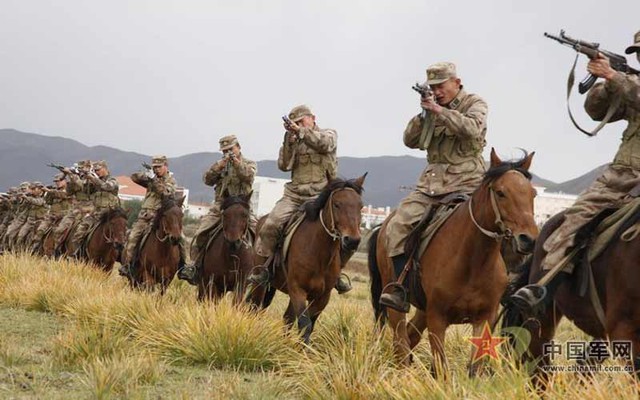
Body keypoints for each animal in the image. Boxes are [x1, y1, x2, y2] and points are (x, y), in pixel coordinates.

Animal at [249, 175, 368, 344]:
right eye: (337, 204)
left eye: (360, 206)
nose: (352, 241)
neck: (319, 254)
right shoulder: (298, 289)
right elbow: (304, 325)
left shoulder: (322, 297)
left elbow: (309, 324)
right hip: (260, 285)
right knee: (255, 309)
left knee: (287, 319)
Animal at [368, 149, 536, 376]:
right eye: (501, 193)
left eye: (533, 194)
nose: (528, 239)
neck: (473, 263)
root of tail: (383, 226)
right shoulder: (437, 319)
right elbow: (442, 369)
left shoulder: (484, 319)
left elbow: (474, 369)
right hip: (396, 300)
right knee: (400, 341)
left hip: (423, 308)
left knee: (410, 336)